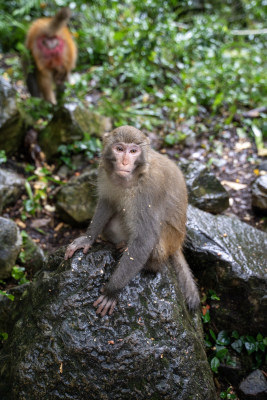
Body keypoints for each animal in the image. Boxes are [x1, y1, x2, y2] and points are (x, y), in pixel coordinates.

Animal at [64, 125, 199, 316]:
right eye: (119, 149)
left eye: (133, 151)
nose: (125, 162)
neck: (134, 177)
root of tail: (177, 244)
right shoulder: (104, 172)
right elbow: (107, 203)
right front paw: (87, 239)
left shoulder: (149, 190)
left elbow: (145, 238)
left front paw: (111, 291)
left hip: (167, 243)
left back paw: (145, 261)